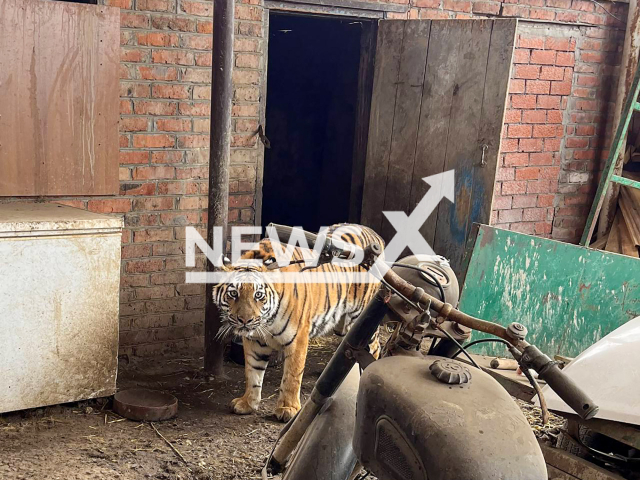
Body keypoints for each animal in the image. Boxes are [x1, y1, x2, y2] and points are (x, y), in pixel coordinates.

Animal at [212, 223, 382, 422]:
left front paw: (288, 408)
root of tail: (373, 233)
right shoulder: (254, 341)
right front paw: (247, 403)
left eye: (258, 295)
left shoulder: (298, 338)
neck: (266, 323)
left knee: (375, 347)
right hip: (345, 324)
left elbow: (292, 376)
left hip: (364, 314)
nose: (245, 320)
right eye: (233, 294)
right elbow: (252, 372)